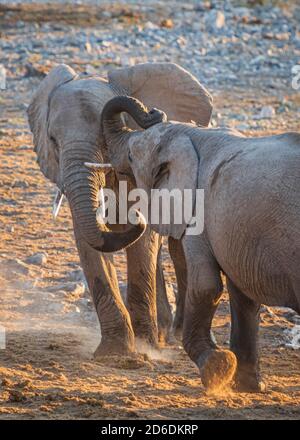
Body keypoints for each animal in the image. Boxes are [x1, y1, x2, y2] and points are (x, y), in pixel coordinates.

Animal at [27, 62, 212, 356]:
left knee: (177, 249)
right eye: (53, 140)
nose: (154, 113)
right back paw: (162, 332)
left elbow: (143, 242)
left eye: (104, 139)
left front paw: (145, 346)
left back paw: (172, 334)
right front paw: (115, 352)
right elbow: (88, 240)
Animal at [96, 96, 300, 392]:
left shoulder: (199, 213)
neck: (191, 133)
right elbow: (242, 295)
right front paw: (248, 387)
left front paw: (217, 369)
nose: (154, 111)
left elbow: (206, 285)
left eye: (132, 156)